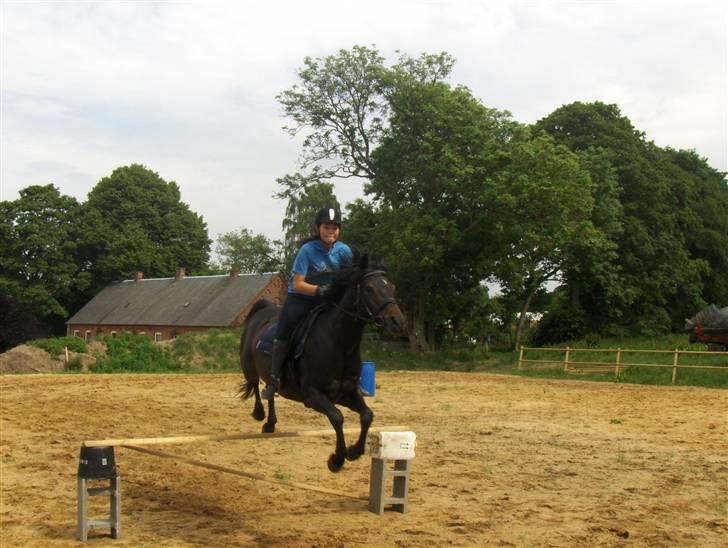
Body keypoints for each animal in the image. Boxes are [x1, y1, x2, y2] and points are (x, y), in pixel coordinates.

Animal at [240, 256, 406, 470]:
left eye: (391, 287)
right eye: (370, 289)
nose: (398, 323)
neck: (340, 344)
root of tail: (263, 309)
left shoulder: (347, 394)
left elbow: (367, 415)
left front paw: (355, 451)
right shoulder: (313, 395)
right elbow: (337, 417)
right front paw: (337, 459)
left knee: (269, 390)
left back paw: (270, 423)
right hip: (248, 365)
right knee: (255, 385)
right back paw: (260, 414)